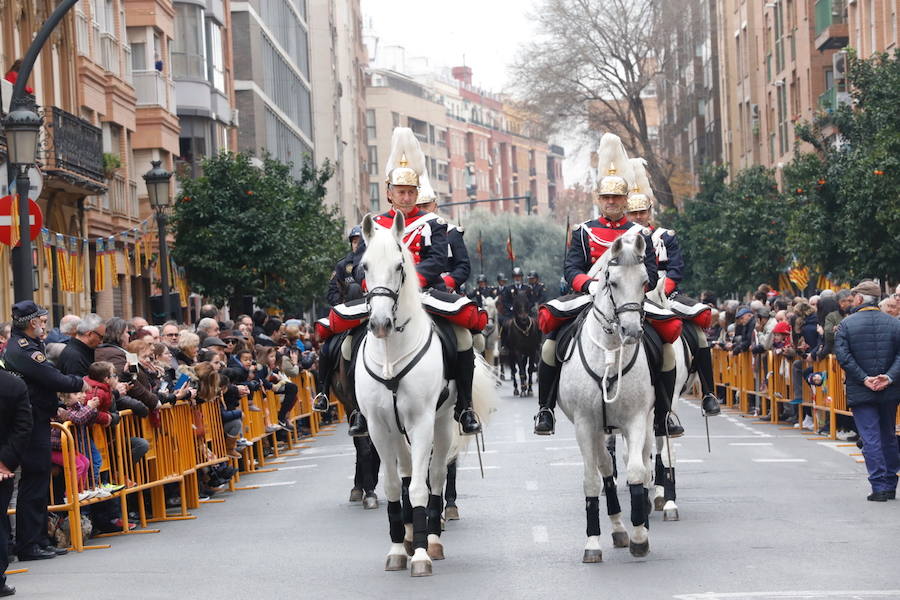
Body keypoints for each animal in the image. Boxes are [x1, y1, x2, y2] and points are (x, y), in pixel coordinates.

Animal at [354, 212, 492, 576]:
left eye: (400, 265)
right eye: (364, 266)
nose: (381, 324)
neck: (391, 353)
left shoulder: (421, 423)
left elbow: (419, 486)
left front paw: (419, 554)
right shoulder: (379, 427)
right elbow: (393, 486)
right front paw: (396, 548)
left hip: (442, 424)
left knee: (437, 475)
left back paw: (430, 539)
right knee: (405, 475)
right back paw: (408, 534)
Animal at [556, 234, 652, 564]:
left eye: (646, 281)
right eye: (612, 282)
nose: (631, 331)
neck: (609, 352)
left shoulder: (636, 419)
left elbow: (636, 472)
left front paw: (640, 536)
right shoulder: (585, 424)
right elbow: (592, 480)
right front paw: (593, 542)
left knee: (639, 463)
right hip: (598, 429)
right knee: (605, 469)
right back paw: (617, 526)